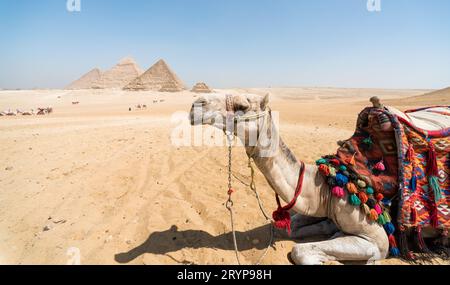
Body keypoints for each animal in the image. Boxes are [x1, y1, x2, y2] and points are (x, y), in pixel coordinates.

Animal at [190, 93, 446, 264]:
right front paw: (328, 231)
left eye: (242, 106)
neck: (329, 184)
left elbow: (300, 251)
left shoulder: (378, 240)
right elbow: (291, 227)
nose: (195, 105)